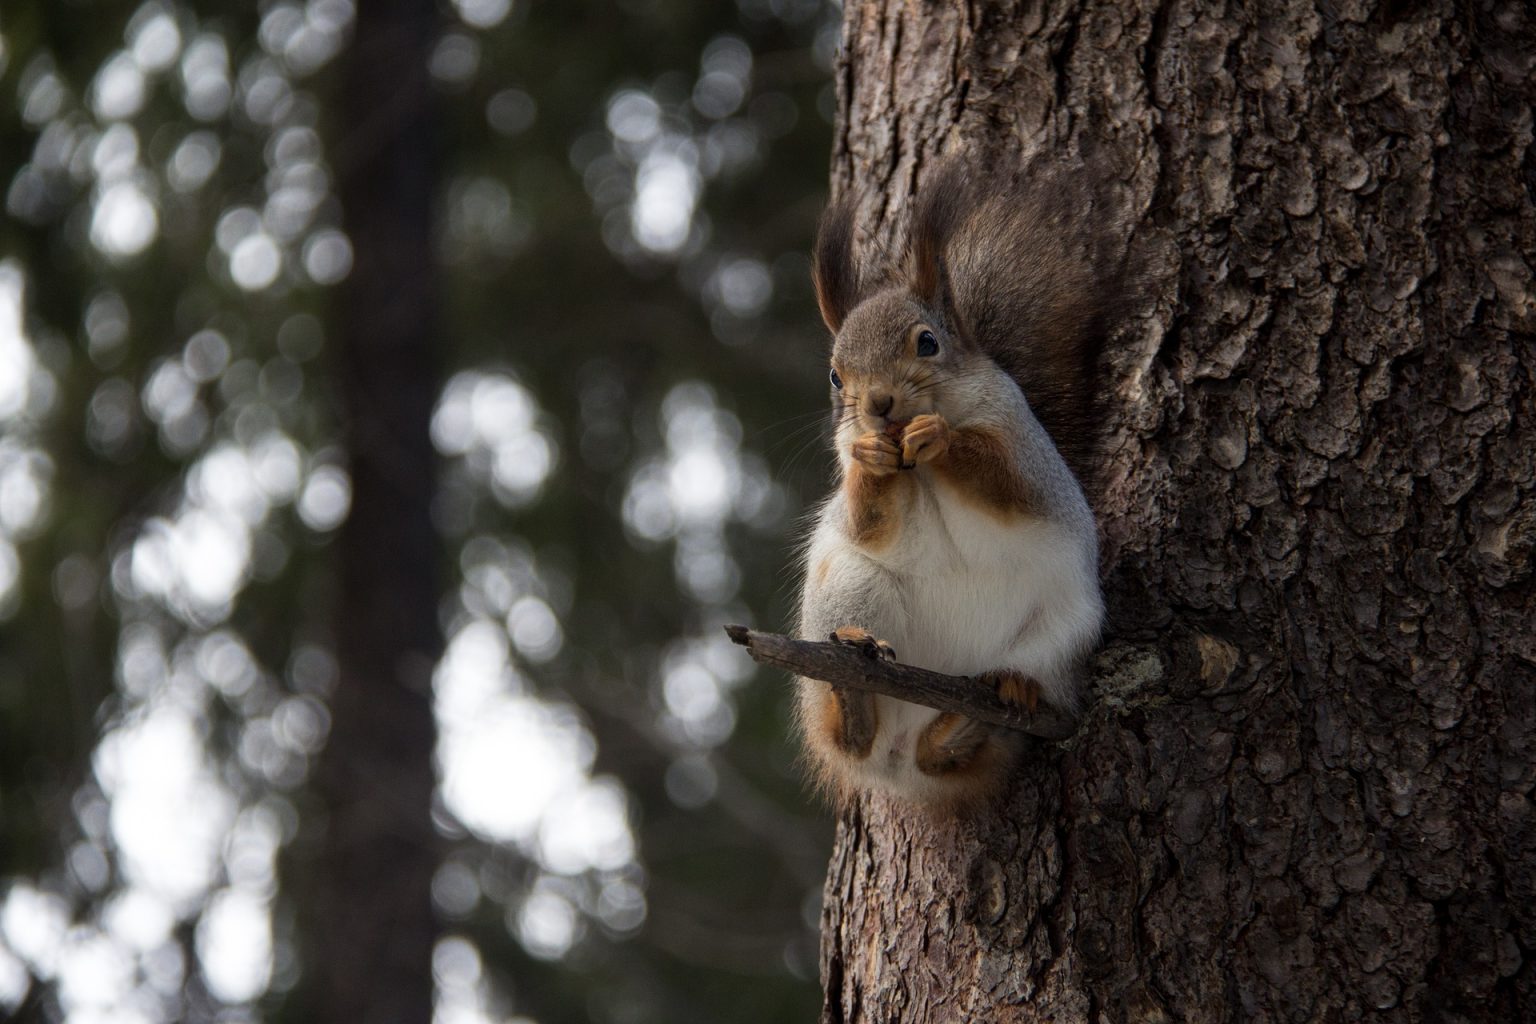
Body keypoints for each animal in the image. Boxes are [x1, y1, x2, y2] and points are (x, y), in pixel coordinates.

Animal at [798, 160, 1124, 810]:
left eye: (927, 341)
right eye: (835, 375)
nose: (878, 405)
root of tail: (898, 761)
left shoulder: (1025, 453)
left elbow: (1006, 485)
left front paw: (939, 436)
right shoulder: (854, 488)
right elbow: (869, 524)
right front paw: (873, 458)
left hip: (1060, 632)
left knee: (957, 739)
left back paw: (987, 709)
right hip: (848, 588)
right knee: (849, 732)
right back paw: (854, 687)